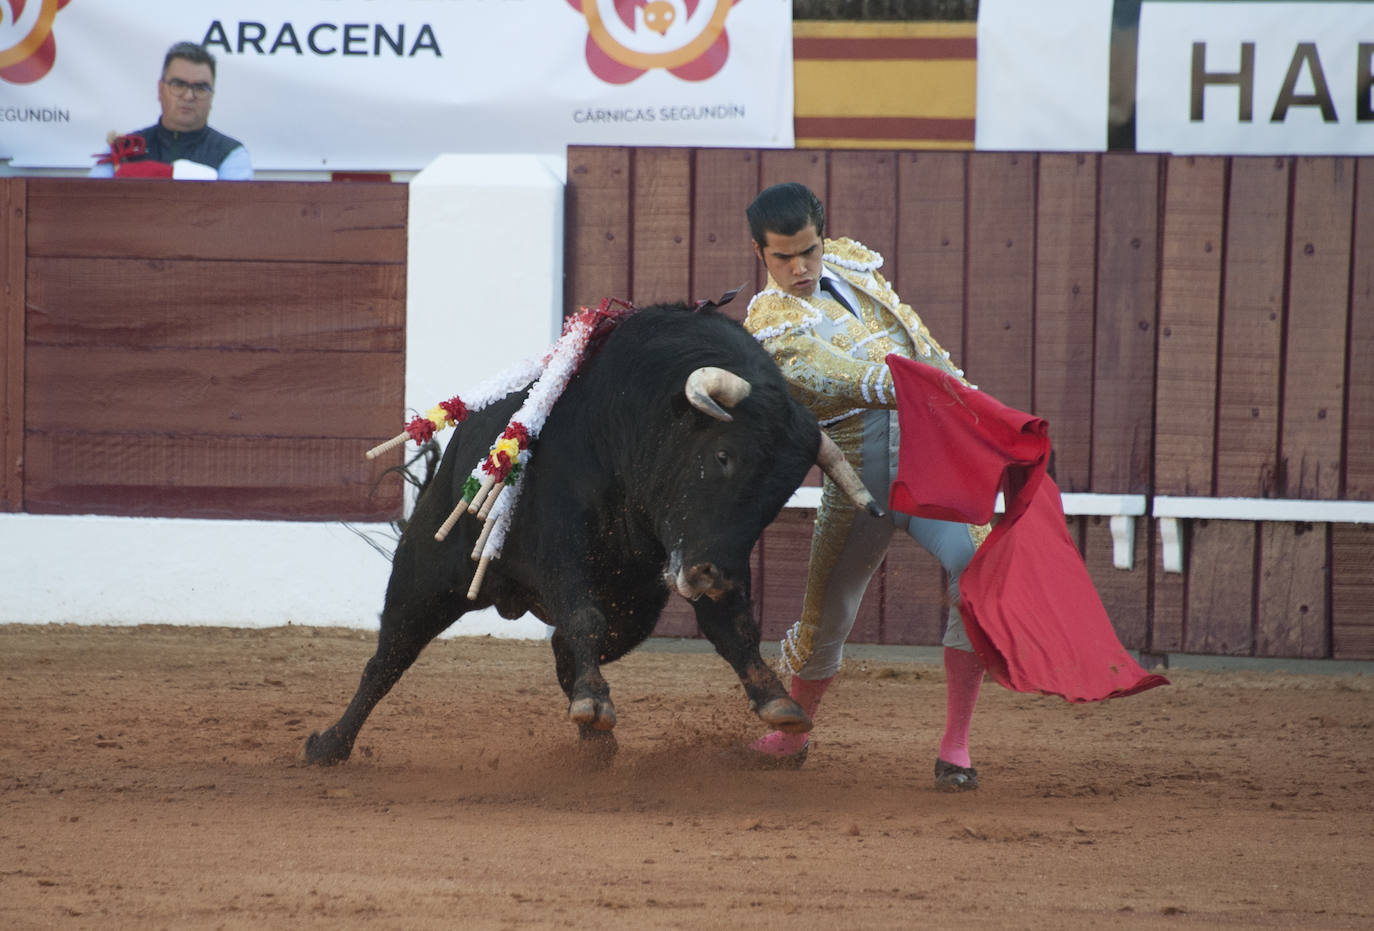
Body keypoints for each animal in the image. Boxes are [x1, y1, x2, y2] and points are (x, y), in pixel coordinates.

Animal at [305, 306, 873, 763]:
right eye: (723, 456)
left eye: (781, 493)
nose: (711, 577)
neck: (629, 424)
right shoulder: (565, 549)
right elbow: (584, 615)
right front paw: (596, 702)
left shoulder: (701, 555)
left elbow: (733, 628)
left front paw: (777, 700)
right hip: (427, 571)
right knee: (388, 658)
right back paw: (329, 745)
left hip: (640, 604)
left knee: (564, 650)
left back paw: (596, 741)